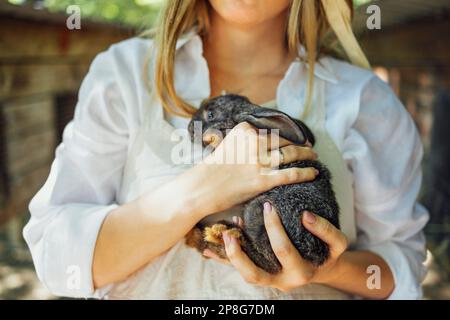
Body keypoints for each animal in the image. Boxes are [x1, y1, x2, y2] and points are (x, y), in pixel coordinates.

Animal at [185, 94, 340, 274]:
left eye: (210, 114)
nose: (190, 126)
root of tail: (315, 254)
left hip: (259, 210)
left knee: (270, 265)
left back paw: (217, 233)